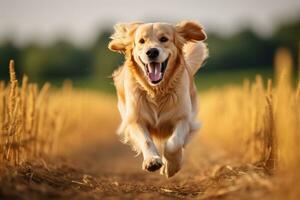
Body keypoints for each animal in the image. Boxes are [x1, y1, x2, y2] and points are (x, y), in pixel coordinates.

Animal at [108, 19, 209, 177]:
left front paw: (171, 166)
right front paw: (152, 161)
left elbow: (174, 143)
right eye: (141, 41)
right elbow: (146, 140)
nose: (152, 52)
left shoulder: (184, 118)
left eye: (164, 39)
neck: (156, 91)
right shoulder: (134, 119)